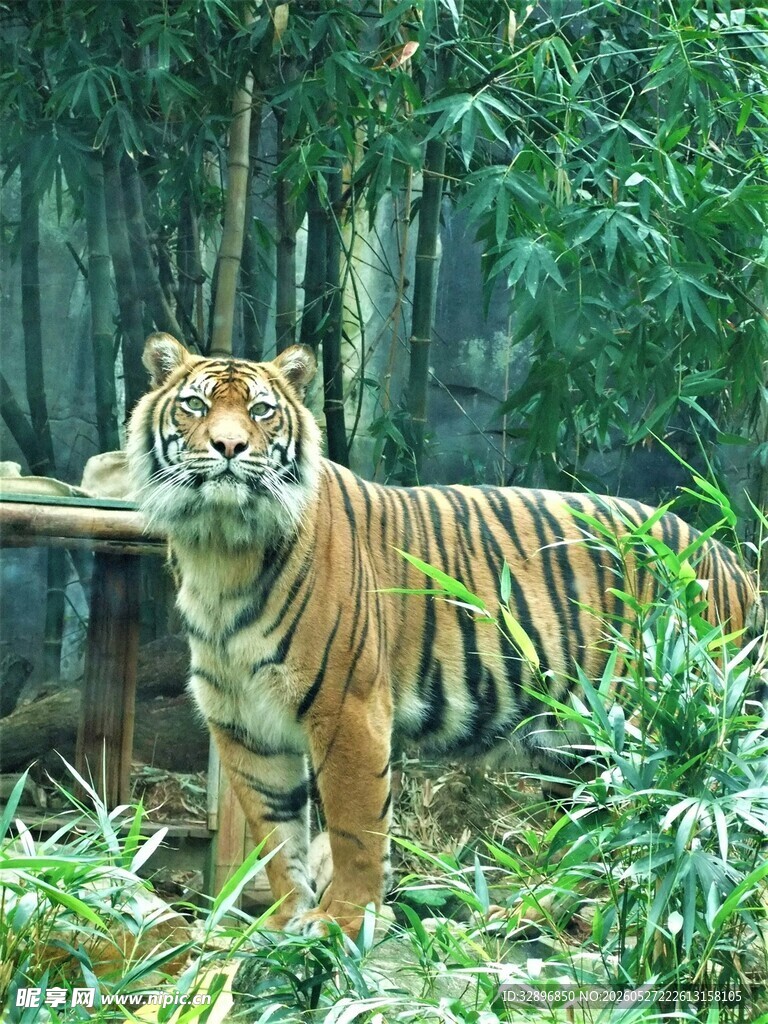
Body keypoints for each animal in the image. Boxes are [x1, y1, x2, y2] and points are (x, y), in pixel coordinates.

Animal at [126, 331, 763, 940]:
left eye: (261, 411)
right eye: (195, 405)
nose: (229, 447)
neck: (219, 550)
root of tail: (730, 559)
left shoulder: (348, 706)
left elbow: (355, 828)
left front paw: (344, 921)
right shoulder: (242, 721)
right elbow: (275, 836)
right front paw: (282, 923)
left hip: (663, 731)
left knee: (680, 831)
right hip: (581, 748)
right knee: (596, 839)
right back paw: (524, 916)